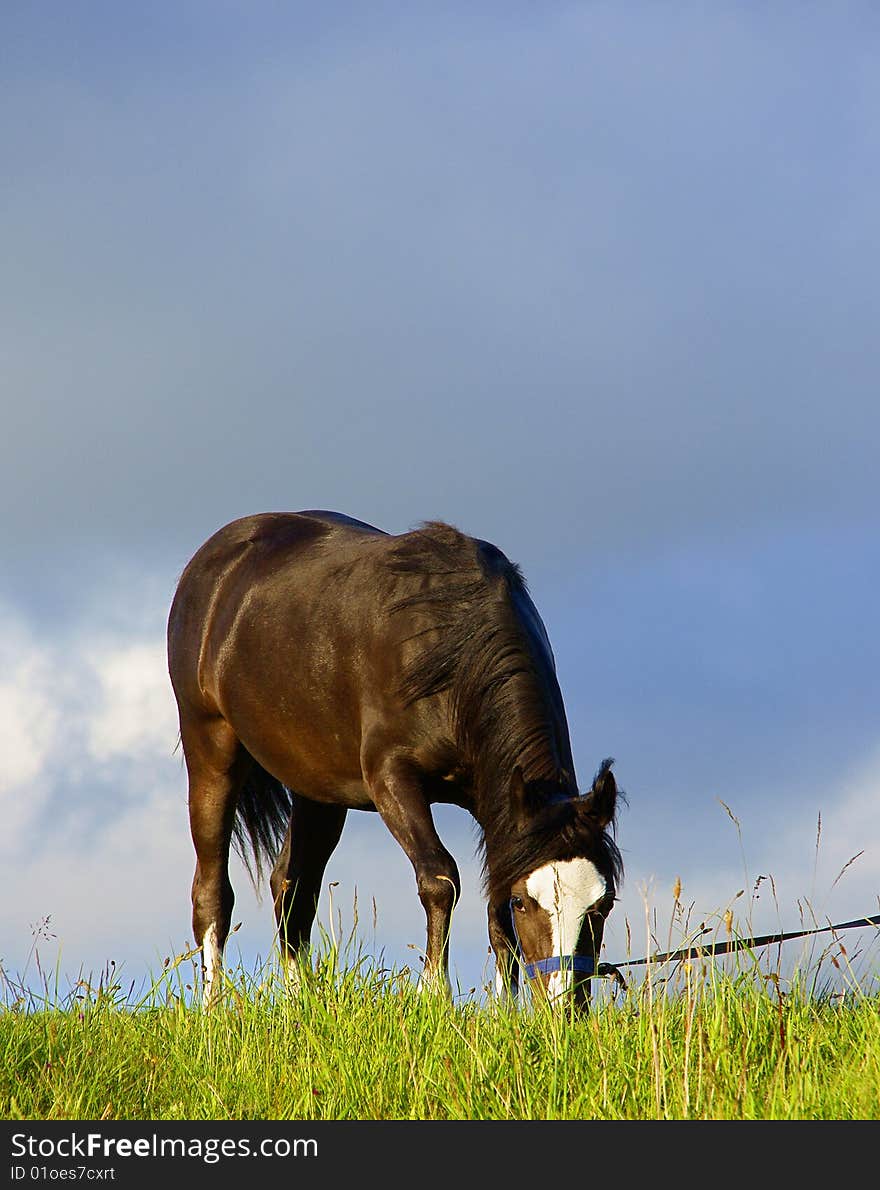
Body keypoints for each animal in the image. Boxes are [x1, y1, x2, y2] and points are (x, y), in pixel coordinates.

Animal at [165, 506, 623, 1009]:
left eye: (603, 905)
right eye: (526, 901)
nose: (566, 1007)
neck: (451, 650)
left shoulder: (495, 801)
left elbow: (492, 904)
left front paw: (505, 1010)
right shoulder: (392, 779)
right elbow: (441, 879)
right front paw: (435, 994)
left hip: (318, 791)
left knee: (291, 888)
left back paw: (303, 1003)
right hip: (211, 748)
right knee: (212, 893)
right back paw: (214, 1010)